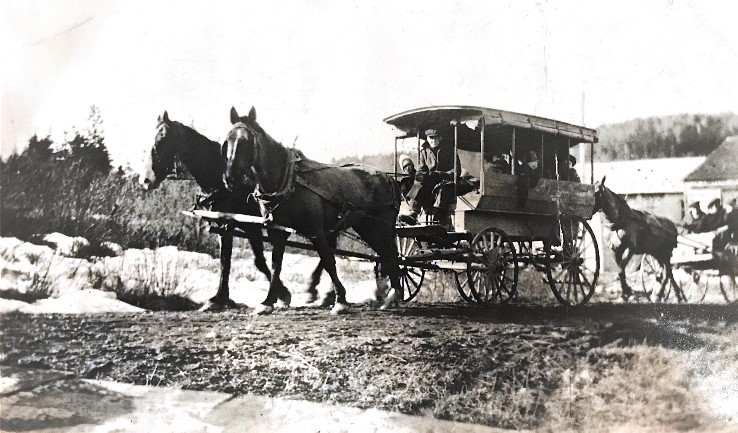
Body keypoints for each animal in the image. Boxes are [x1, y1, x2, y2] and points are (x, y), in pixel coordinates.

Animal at [141, 109, 296, 308]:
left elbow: (239, 260)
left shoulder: (244, 225)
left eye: (162, 141)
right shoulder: (230, 225)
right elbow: (239, 260)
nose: (145, 180)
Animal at [223, 106, 402, 312]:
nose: (230, 178)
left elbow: (328, 261)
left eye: (245, 141)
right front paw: (268, 301)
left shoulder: (316, 230)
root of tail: (389, 178)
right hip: (366, 227)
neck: (289, 181)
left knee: (391, 254)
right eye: (227, 140)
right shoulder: (277, 232)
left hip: (378, 228)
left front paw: (340, 300)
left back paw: (394, 295)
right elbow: (276, 265)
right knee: (386, 255)